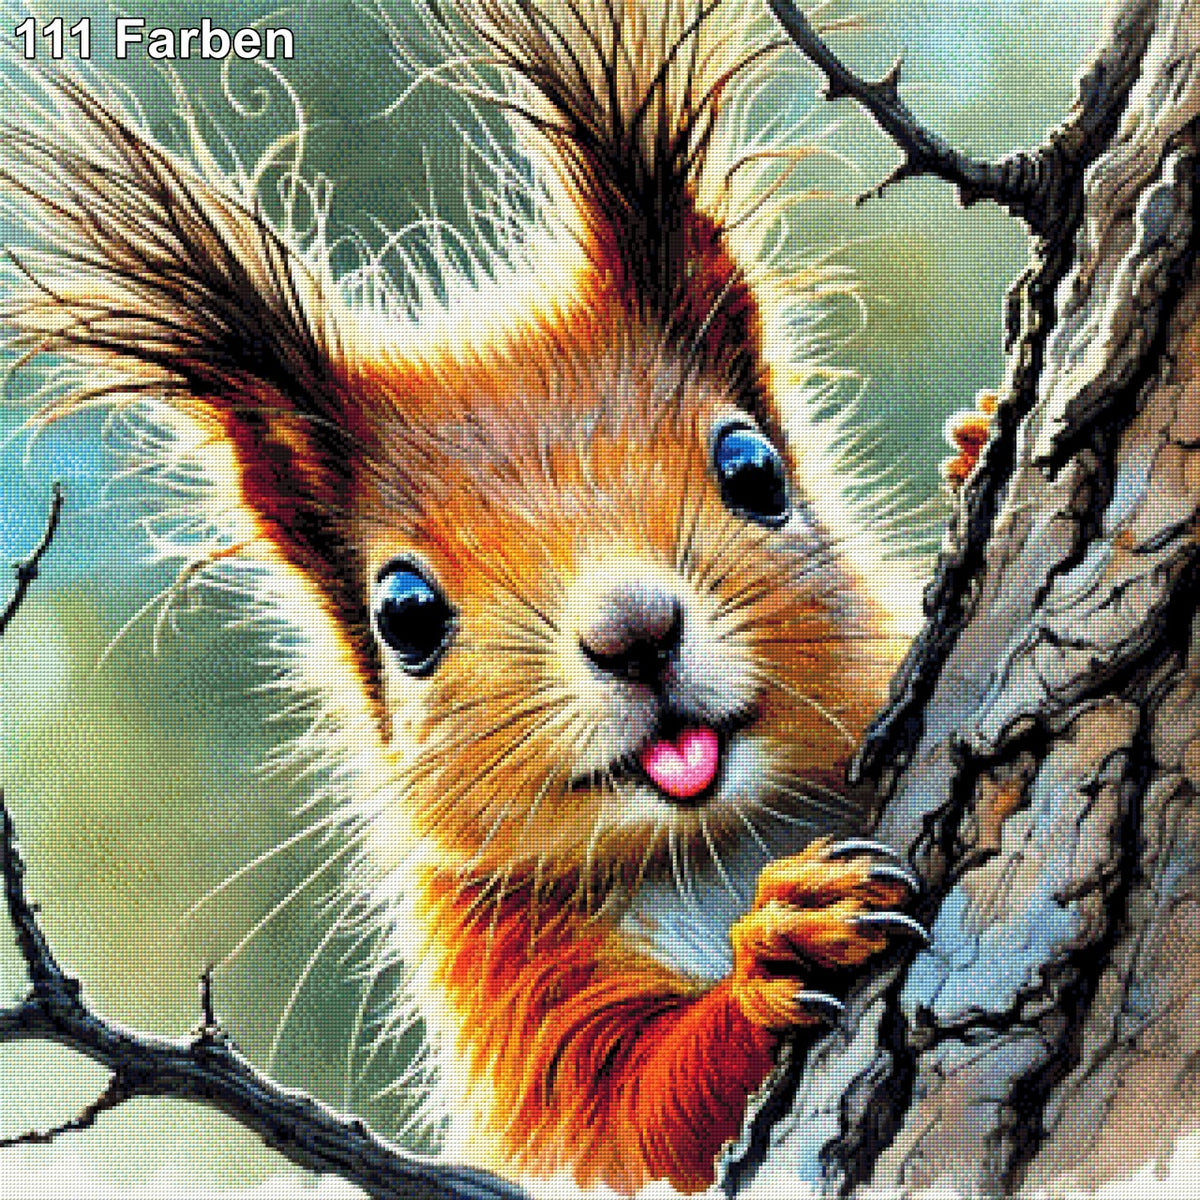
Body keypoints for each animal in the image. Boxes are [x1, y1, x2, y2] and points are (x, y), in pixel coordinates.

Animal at [0, 1, 991, 1194]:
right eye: (406, 615)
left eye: (754, 467)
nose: (634, 633)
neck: (716, 841)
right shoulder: (504, 983)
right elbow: (635, 1114)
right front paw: (781, 946)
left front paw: (979, 437)